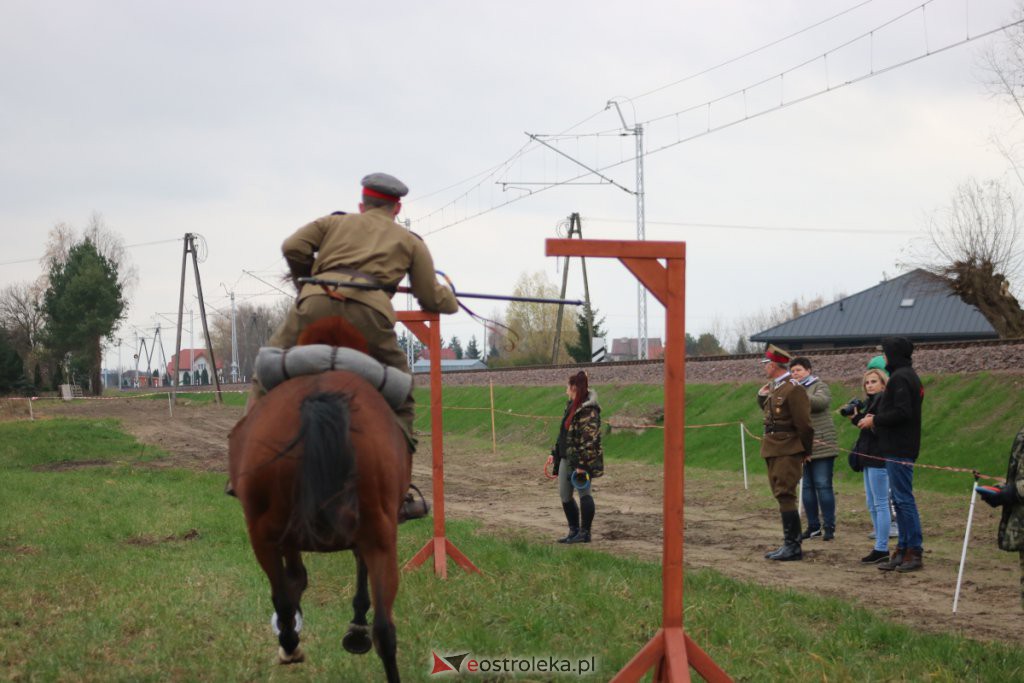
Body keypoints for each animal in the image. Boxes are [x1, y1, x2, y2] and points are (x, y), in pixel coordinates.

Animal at [230, 317, 409, 679]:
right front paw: (355, 626)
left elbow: (294, 582)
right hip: (380, 535)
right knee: (385, 629)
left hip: (264, 534)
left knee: (283, 597)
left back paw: (290, 644)